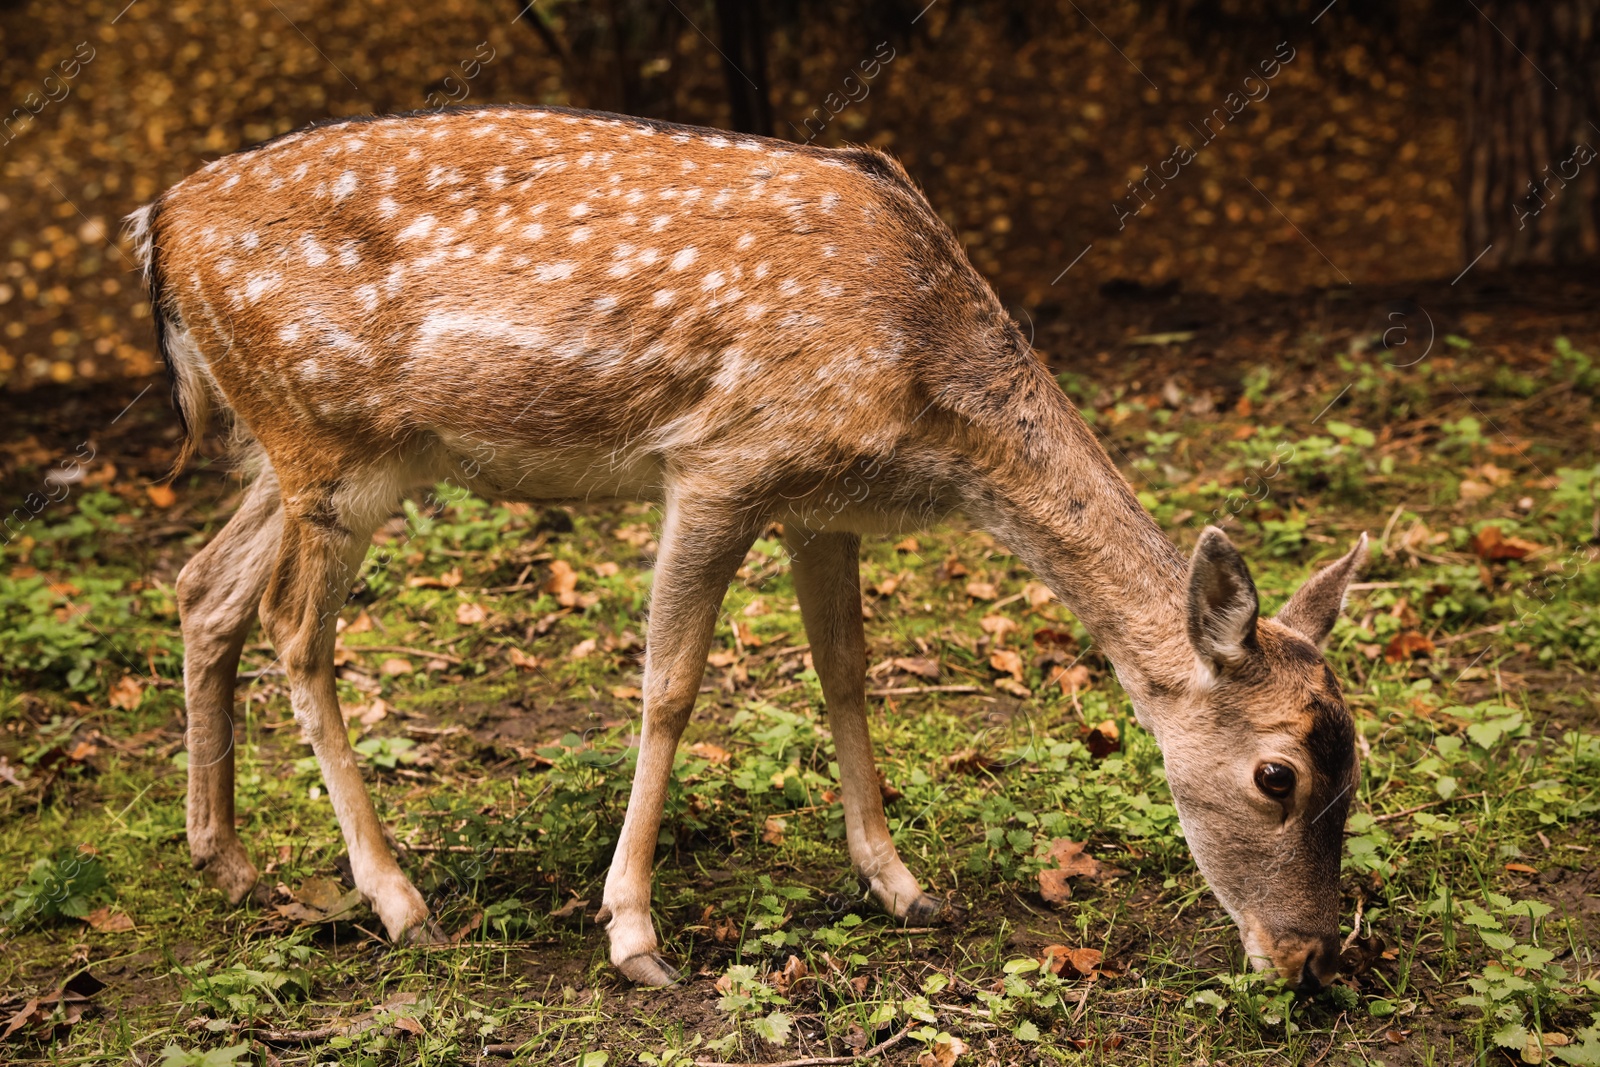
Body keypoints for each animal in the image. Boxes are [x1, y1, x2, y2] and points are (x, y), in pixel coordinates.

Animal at [131, 102, 1369, 991]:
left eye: (1359, 762)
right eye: (1278, 773)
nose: (1309, 957)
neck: (924, 393)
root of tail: (156, 227)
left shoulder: (818, 498)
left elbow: (847, 669)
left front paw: (902, 883)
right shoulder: (720, 462)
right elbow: (669, 686)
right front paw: (633, 935)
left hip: (298, 452)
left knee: (202, 586)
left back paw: (227, 861)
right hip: (329, 438)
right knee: (292, 627)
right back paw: (398, 899)